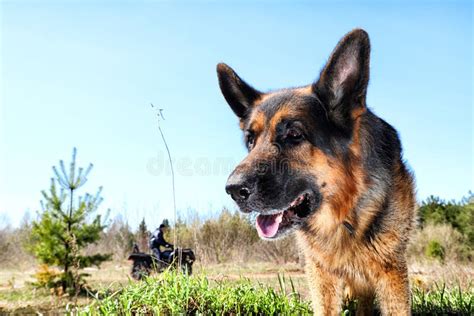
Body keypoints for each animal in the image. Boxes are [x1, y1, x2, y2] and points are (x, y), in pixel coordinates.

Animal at [217, 28, 416, 314]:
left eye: (294, 135)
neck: (343, 215)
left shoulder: (391, 272)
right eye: (251, 141)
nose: (232, 190)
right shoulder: (321, 273)